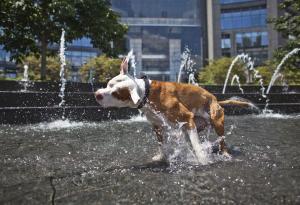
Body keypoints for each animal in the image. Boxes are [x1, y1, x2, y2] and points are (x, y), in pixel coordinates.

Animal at [95, 58, 252, 163]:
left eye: (116, 93)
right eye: (108, 84)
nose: (97, 94)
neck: (147, 93)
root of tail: (216, 99)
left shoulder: (186, 117)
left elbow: (196, 146)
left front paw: (202, 160)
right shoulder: (157, 126)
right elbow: (162, 144)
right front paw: (162, 156)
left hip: (216, 121)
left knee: (221, 141)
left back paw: (224, 153)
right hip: (192, 125)